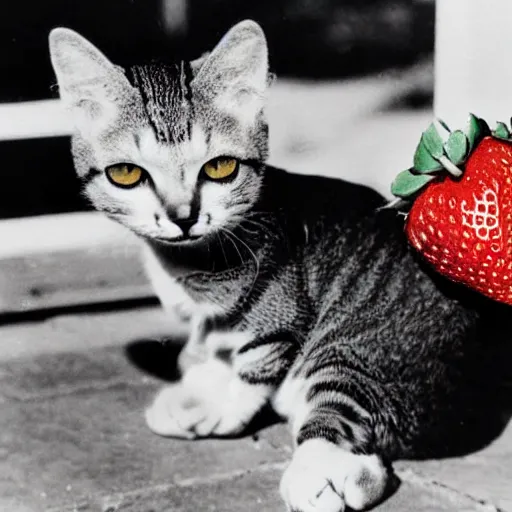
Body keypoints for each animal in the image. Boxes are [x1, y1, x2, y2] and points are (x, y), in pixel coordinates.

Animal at [49, 22, 500, 512]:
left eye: (220, 168)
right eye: (127, 174)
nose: (182, 215)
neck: (188, 263)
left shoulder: (277, 311)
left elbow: (254, 363)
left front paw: (222, 407)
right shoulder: (210, 319)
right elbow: (210, 343)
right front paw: (200, 385)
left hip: (358, 351)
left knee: (337, 415)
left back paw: (316, 475)